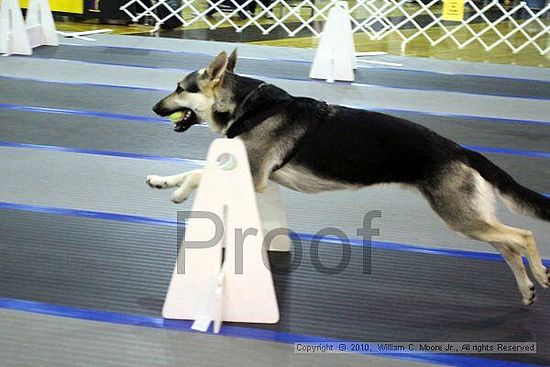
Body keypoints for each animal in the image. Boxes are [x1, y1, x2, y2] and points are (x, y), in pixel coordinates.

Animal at [149, 50, 548, 306]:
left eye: (180, 88)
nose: (153, 108)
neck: (245, 106)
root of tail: (461, 150)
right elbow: (192, 169)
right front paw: (163, 180)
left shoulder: (254, 173)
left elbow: (198, 171)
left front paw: (179, 191)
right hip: (470, 219)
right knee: (508, 247)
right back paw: (527, 288)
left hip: (461, 217)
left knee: (523, 236)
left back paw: (541, 275)